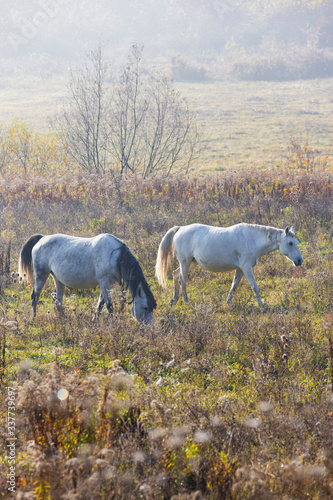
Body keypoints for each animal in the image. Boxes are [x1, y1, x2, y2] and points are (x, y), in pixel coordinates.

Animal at [18, 232, 156, 322]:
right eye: (145, 308)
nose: (149, 330)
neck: (115, 255)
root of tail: (41, 239)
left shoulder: (106, 283)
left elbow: (100, 304)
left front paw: (95, 319)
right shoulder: (103, 281)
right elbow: (109, 305)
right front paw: (112, 324)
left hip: (58, 280)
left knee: (58, 300)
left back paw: (63, 319)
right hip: (41, 276)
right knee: (35, 297)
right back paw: (33, 318)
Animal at [154, 224, 302, 308]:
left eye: (296, 242)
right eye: (290, 243)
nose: (299, 261)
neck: (252, 240)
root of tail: (180, 229)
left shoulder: (240, 269)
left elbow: (234, 286)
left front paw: (228, 303)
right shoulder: (246, 267)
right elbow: (254, 287)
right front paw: (261, 305)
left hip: (191, 262)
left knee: (175, 275)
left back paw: (174, 300)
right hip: (185, 262)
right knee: (182, 280)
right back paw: (186, 301)